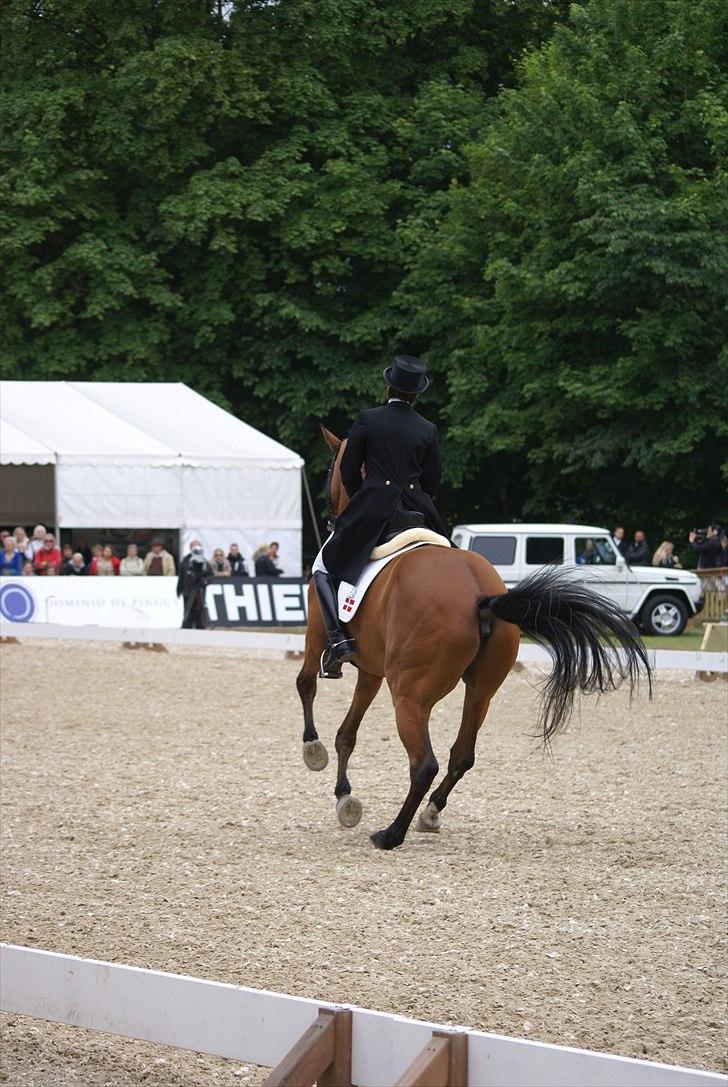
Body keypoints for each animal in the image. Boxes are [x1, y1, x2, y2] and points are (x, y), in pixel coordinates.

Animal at [297, 423, 656, 847]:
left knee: (424, 764)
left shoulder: (318, 633)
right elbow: (346, 734)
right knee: (462, 755)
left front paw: (313, 751)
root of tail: (480, 596)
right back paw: (430, 813)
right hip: (481, 690)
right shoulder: (370, 668)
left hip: (410, 695)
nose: (331, 519)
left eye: (330, 473)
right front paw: (345, 799)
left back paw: (392, 834)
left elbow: (306, 685)